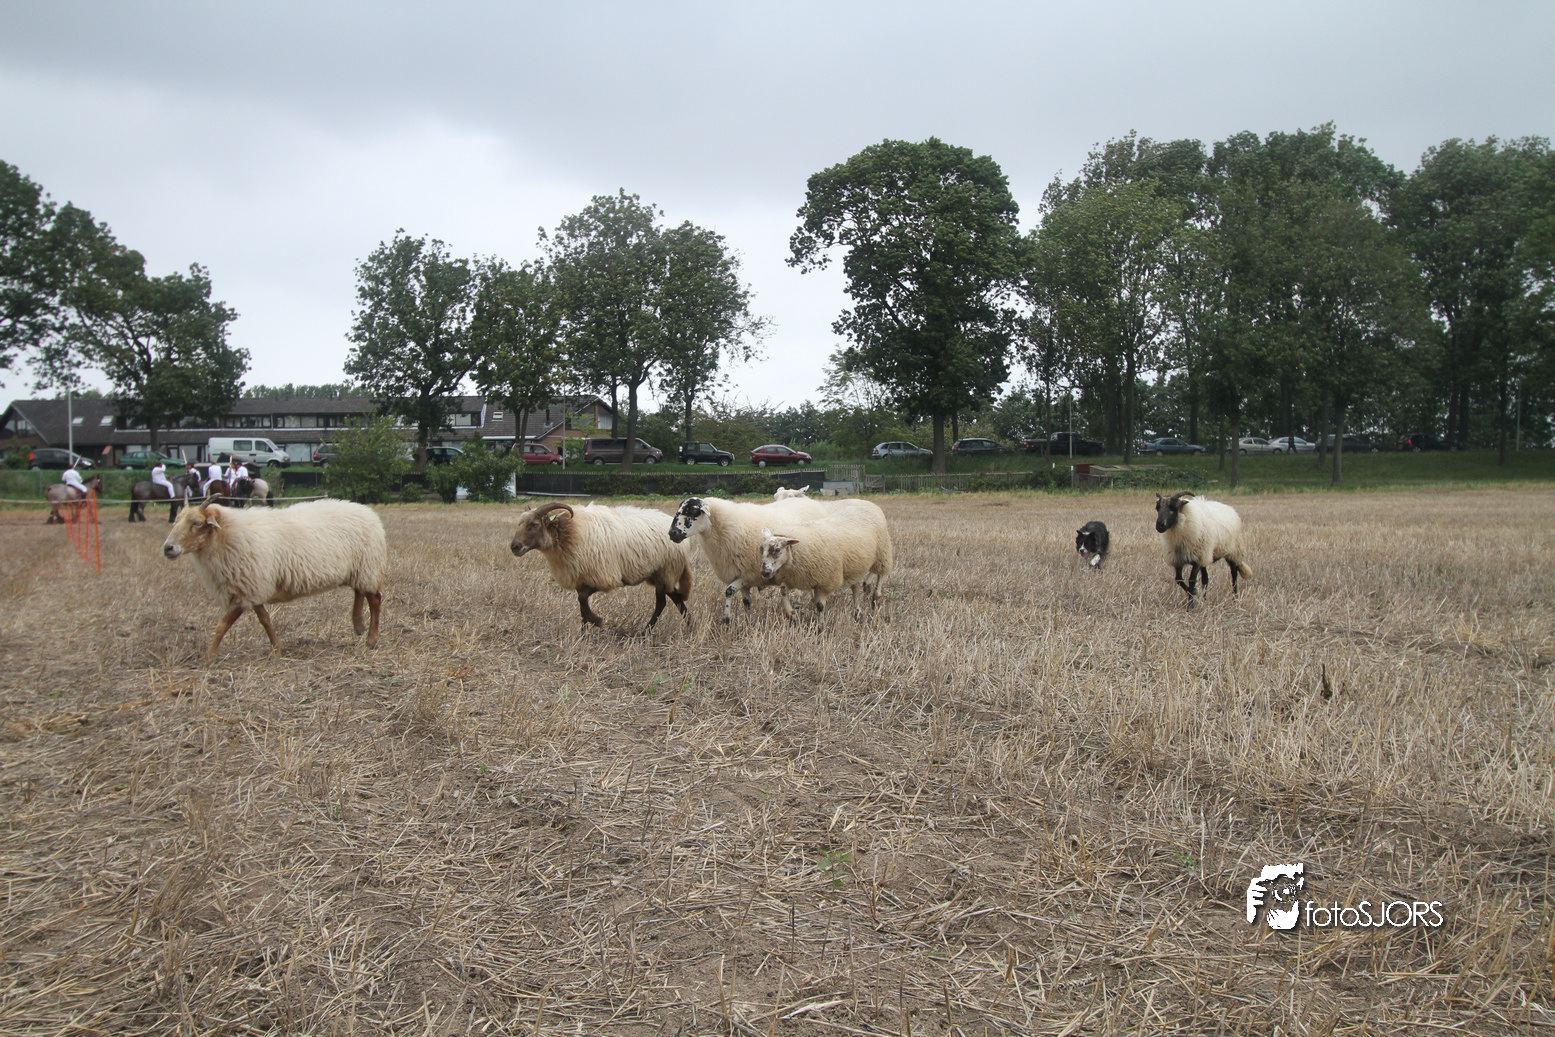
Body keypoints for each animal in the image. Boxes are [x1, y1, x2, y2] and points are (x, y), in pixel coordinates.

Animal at [162, 499, 386, 662]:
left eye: (197, 523)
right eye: (176, 521)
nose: (168, 548)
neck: (227, 535)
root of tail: (368, 512)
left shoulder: (245, 590)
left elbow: (222, 625)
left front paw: (208, 658)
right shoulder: (253, 588)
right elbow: (265, 620)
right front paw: (276, 649)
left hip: (367, 565)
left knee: (374, 600)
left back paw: (372, 639)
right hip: (358, 569)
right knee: (359, 592)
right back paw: (358, 624)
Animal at [510, 501, 692, 630]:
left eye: (534, 525)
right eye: (519, 524)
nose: (514, 547)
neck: (570, 531)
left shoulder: (604, 577)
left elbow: (582, 599)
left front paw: (597, 621)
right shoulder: (580, 578)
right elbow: (581, 605)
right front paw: (584, 634)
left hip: (665, 571)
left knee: (661, 603)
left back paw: (646, 631)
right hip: (659, 574)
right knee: (675, 597)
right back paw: (690, 626)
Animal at [668, 494, 837, 622]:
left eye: (693, 510)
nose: (672, 533)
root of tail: (811, 502)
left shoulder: (750, 574)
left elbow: (728, 591)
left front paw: (726, 620)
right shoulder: (742, 576)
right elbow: (746, 601)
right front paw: (749, 621)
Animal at [757, 500, 893, 618]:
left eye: (777, 549)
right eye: (761, 548)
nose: (765, 572)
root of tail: (871, 506)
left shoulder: (825, 580)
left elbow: (819, 605)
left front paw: (820, 627)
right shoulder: (797, 577)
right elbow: (783, 590)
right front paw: (791, 614)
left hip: (882, 555)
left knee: (881, 575)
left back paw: (874, 600)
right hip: (854, 565)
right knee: (856, 587)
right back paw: (858, 612)